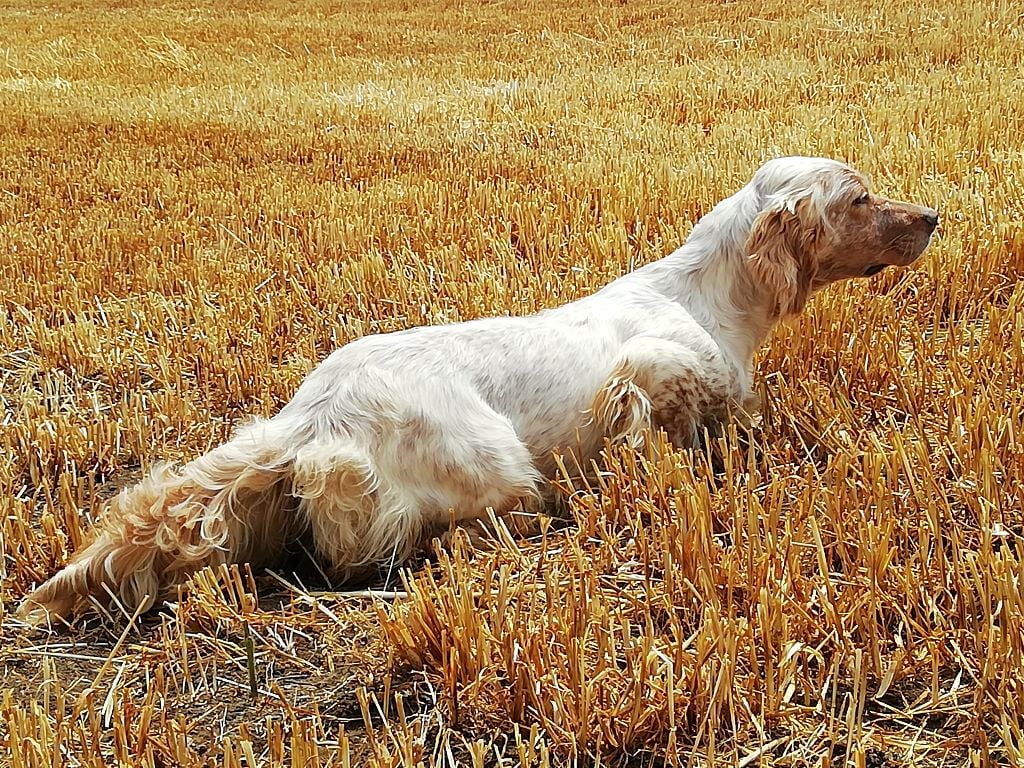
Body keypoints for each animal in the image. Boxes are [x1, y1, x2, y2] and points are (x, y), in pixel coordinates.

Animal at [19, 156, 939, 625]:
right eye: (860, 197)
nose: (934, 215)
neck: (706, 295)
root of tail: (311, 420)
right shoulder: (648, 368)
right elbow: (672, 415)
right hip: (497, 463)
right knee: (439, 536)